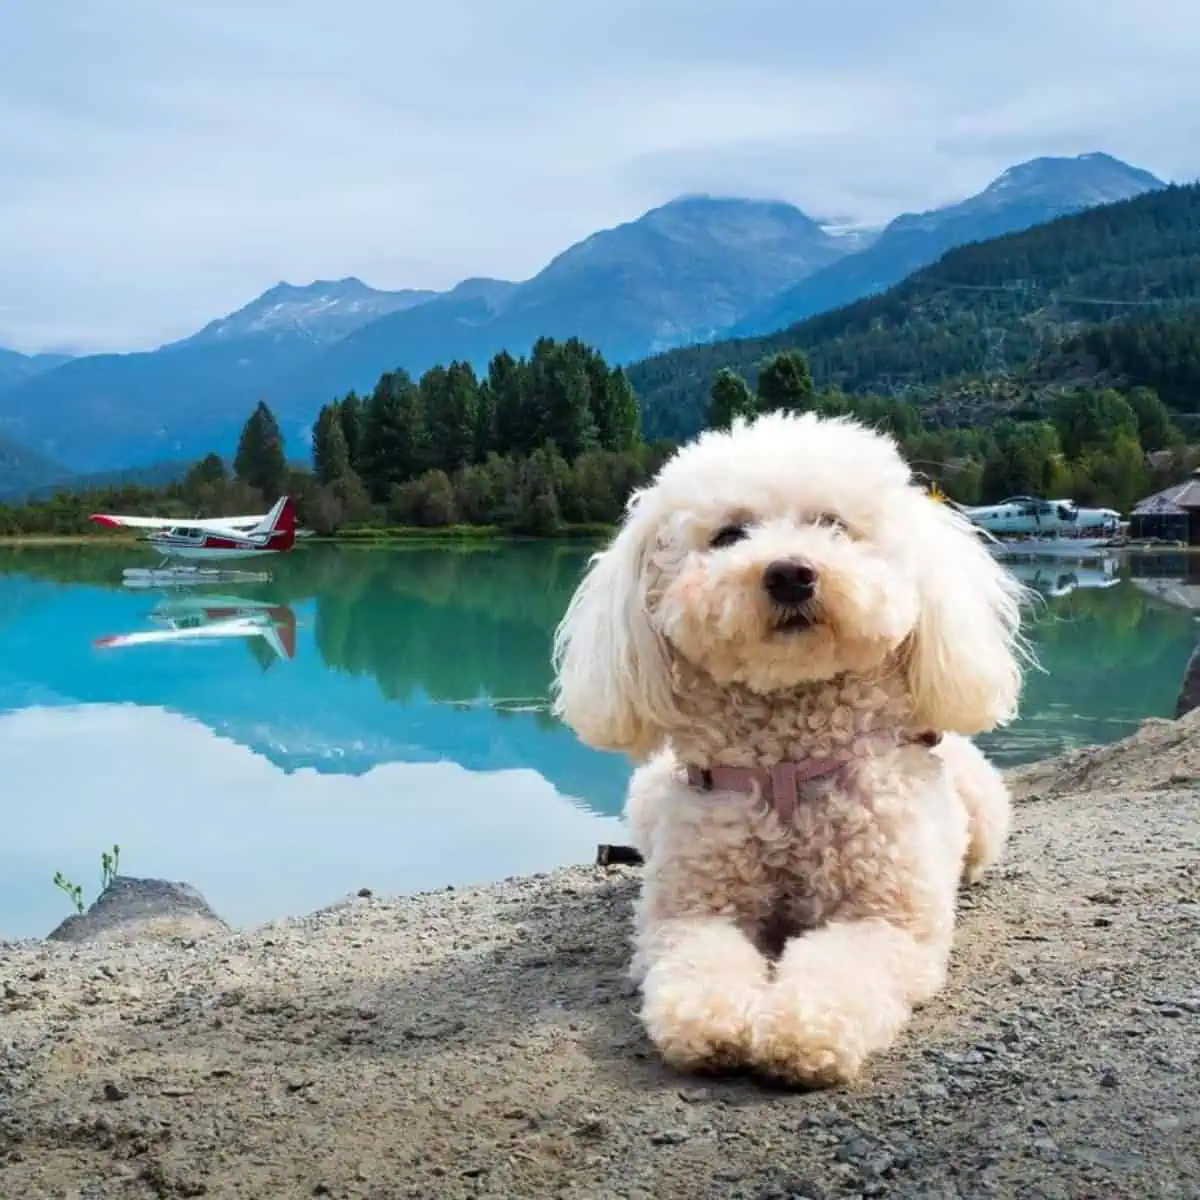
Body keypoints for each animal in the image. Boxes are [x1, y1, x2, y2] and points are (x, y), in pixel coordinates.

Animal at [549, 410, 1027, 1089]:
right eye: (729, 534)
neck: (787, 772)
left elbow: (843, 970)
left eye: (832, 524)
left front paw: (804, 1031)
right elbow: (698, 961)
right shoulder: (691, 909)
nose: (790, 573)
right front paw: (714, 1019)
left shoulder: (885, 916)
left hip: (983, 810)